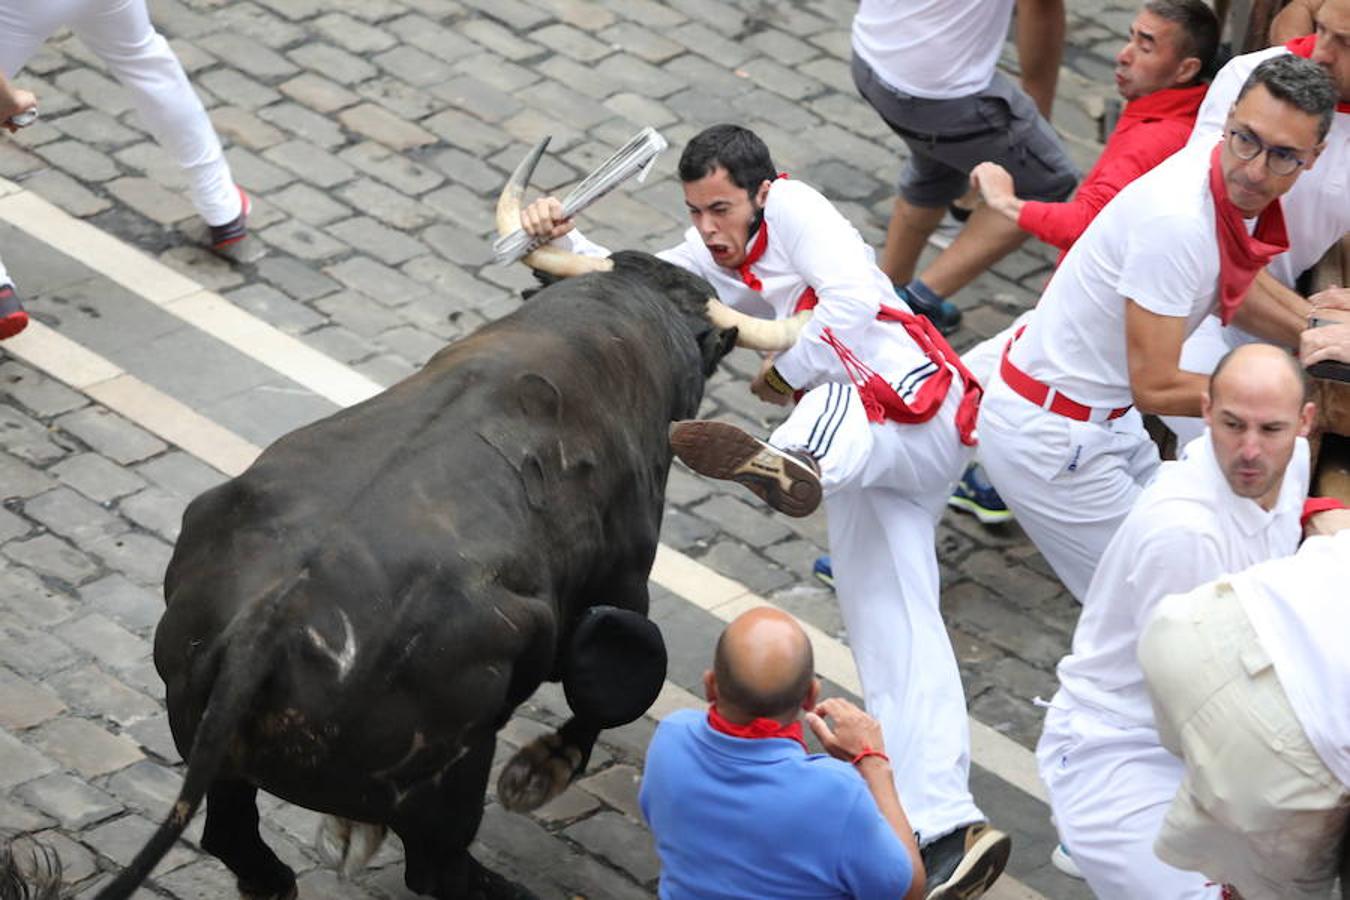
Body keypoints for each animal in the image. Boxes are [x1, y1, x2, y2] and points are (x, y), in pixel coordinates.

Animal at [97, 253, 739, 900]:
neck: (615, 317)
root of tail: (270, 623)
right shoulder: (625, 583)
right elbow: (619, 679)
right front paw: (543, 769)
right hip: (456, 761)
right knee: (436, 864)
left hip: (215, 746)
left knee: (230, 835)